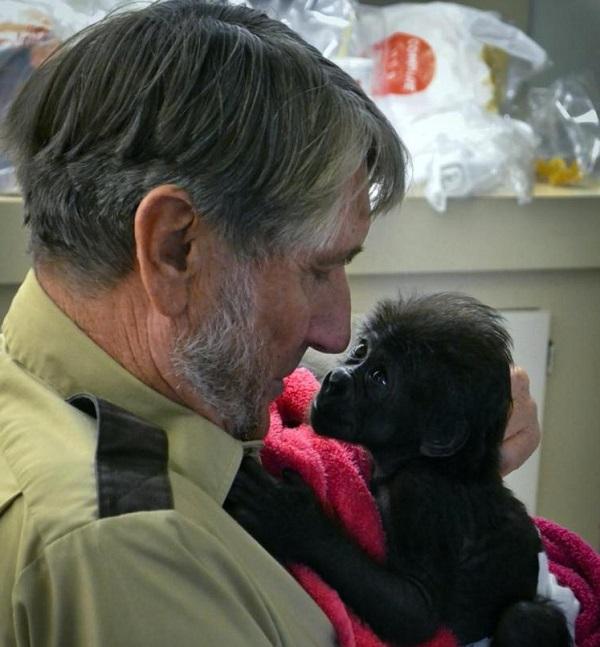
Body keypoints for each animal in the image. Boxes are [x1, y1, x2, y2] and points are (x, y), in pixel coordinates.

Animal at [225, 293, 572, 647]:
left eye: (380, 378)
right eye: (361, 350)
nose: (335, 380)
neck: (418, 459)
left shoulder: (420, 492)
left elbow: (417, 612)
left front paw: (293, 520)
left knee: (525, 619)